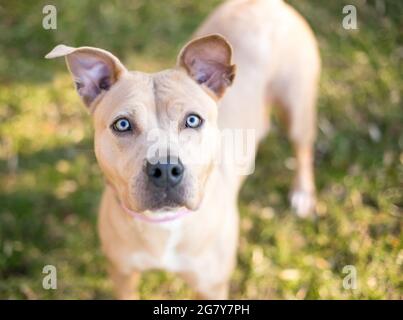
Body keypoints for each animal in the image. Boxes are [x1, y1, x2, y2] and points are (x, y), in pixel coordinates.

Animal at [45, 0, 320, 300]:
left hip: (296, 109)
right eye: (122, 124)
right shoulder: (122, 274)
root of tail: (259, 4)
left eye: (192, 120)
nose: (165, 169)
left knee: (303, 149)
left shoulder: (212, 287)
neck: (164, 224)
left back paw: (302, 194)